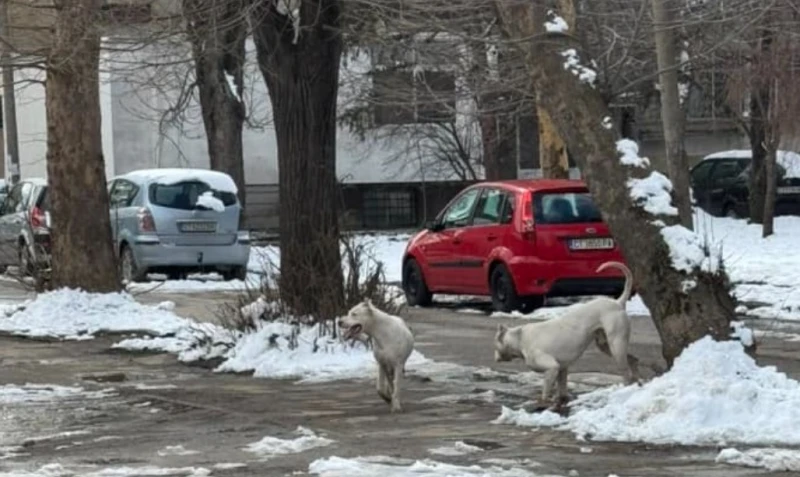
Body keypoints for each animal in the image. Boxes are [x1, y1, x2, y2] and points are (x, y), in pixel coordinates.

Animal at [490, 258, 640, 408]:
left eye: (495, 344)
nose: (494, 358)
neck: (519, 338)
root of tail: (618, 302)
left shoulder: (551, 368)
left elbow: (546, 390)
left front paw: (543, 403)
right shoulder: (562, 369)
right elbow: (562, 389)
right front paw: (561, 401)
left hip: (616, 345)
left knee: (625, 371)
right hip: (606, 345)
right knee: (633, 360)